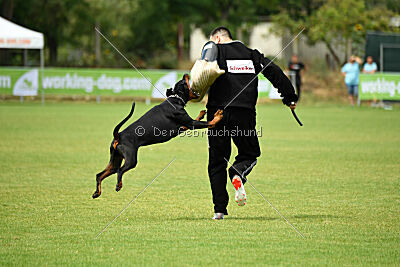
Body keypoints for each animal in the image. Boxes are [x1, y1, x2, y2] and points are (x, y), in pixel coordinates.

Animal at [91, 74, 222, 199]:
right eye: (183, 82)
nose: (185, 74)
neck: (175, 99)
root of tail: (118, 135)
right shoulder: (191, 124)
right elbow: (210, 122)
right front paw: (218, 115)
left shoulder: (184, 126)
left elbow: (198, 118)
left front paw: (202, 113)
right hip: (131, 160)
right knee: (120, 171)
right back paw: (118, 185)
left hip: (115, 160)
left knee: (99, 175)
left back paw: (97, 192)